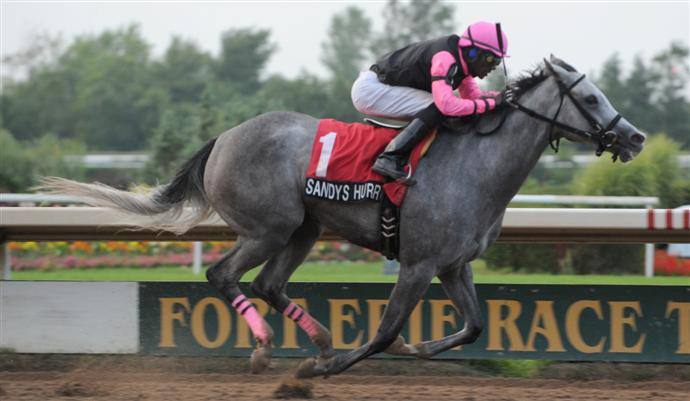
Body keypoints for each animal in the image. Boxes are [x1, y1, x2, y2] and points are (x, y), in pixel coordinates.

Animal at [41, 57, 644, 378]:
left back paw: (321, 340)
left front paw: (414, 349)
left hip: (305, 229)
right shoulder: (418, 264)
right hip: (269, 227)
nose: (635, 137)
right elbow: (385, 329)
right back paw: (270, 349)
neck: (475, 165)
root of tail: (224, 138)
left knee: (266, 283)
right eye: (591, 98)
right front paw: (326, 369)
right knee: (225, 274)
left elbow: (473, 326)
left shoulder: (454, 265)